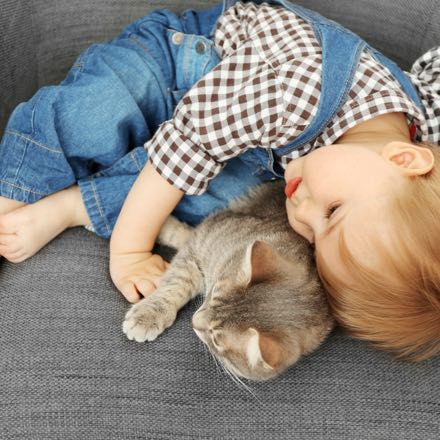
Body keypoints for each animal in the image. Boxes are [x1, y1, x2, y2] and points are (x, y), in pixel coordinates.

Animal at [122, 180, 336, 382]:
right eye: (213, 293)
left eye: (216, 339)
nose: (193, 320)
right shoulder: (203, 237)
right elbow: (176, 283)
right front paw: (149, 314)